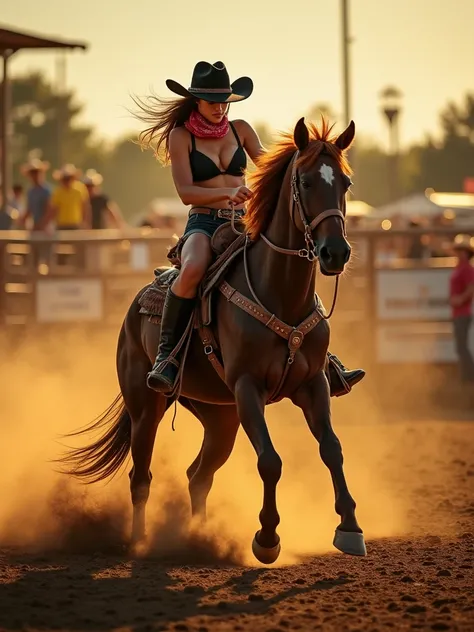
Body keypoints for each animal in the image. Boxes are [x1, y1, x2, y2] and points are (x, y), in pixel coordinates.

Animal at [61, 117, 366, 564]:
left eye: (345, 182)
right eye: (307, 181)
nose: (335, 253)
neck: (279, 292)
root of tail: (136, 305)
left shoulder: (313, 384)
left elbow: (332, 448)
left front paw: (350, 529)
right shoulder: (247, 386)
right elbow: (270, 461)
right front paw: (267, 539)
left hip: (220, 416)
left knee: (197, 475)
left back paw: (199, 537)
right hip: (145, 406)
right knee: (141, 475)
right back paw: (140, 542)